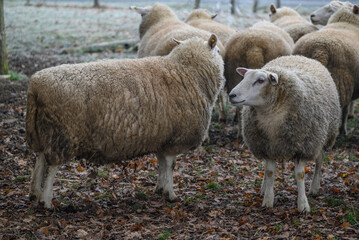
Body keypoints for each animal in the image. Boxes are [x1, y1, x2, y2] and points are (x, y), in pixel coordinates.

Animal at [26, 33, 225, 208]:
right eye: (217, 51)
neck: (188, 71)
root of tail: (35, 86)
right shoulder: (174, 139)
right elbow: (170, 165)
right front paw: (170, 194)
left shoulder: (163, 137)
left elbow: (162, 164)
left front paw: (160, 189)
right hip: (62, 134)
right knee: (52, 168)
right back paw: (46, 200)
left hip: (42, 131)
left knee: (40, 159)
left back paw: (35, 193)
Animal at [229, 54, 342, 212]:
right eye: (244, 77)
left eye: (260, 80)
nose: (232, 95)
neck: (271, 115)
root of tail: (298, 56)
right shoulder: (267, 146)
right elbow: (270, 172)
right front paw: (268, 200)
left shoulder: (302, 147)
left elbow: (300, 175)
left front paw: (303, 204)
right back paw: (263, 187)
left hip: (323, 137)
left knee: (319, 161)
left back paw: (314, 187)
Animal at [294, 4, 359, 135]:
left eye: (330, 9)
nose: (312, 15)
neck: (346, 22)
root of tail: (320, 49)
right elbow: (346, 110)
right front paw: (344, 130)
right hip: (340, 84)